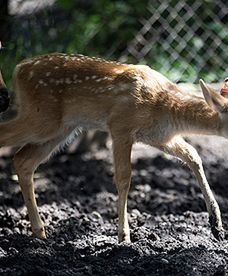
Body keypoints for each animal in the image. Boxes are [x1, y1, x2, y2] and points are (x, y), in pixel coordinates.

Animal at [0, 52, 225, 242]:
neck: (166, 106)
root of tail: (18, 68)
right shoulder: (120, 126)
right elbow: (124, 177)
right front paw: (124, 236)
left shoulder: (159, 138)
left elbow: (193, 155)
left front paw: (217, 226)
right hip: (41, 118)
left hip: (61, 129)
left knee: (23, 161)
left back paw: (39, 232)